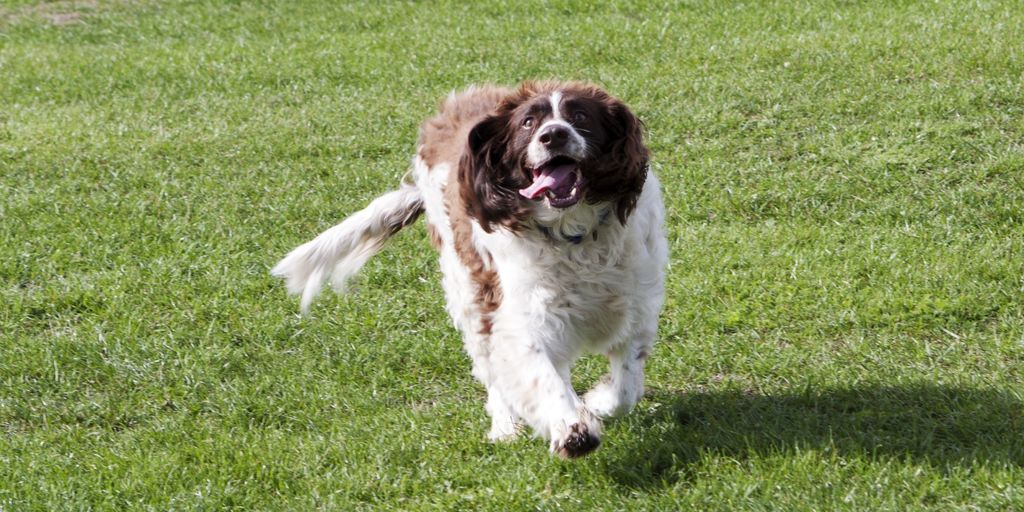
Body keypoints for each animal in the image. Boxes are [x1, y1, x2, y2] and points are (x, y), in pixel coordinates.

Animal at [272, 81, 667, 458]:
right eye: (528, 123)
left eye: (580, 116)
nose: (553, 135)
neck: (574, 236)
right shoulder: (520, 317)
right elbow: (539, 374)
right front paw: (572, 427)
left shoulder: (636, 308)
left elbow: (626, 387)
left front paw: (597, 403)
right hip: (467, 289)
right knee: (491, 368)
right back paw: (506, 427)